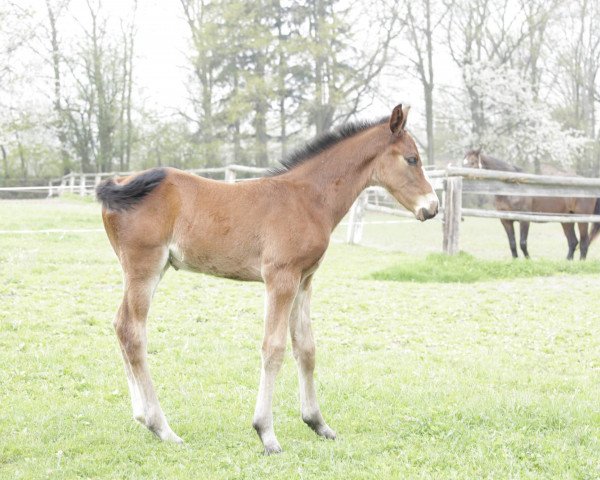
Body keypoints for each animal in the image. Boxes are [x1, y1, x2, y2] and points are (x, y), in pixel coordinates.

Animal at [96, 105, 438, 454]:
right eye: (412, 158)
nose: (432, 207)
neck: (308, 198)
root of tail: (121, 182)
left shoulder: (304, 280)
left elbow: (306, 348)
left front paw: (318, 423)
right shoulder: (281, 277)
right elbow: (273, 348)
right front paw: (266, 433)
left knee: (121, 325)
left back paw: (142, 417)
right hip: (144, 267)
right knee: (133, 331)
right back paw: (162, 427)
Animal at [462, 149, 596, 258]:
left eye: (473, 162)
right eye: (463, 162)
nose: (462, 178)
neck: (512, 189)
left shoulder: (524, 220)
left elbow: (522, 243)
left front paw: (528, 260)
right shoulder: (505, 220)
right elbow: (512, 243)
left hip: (582, 219)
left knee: (584, 242)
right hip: (566, 220)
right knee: (573, 242)